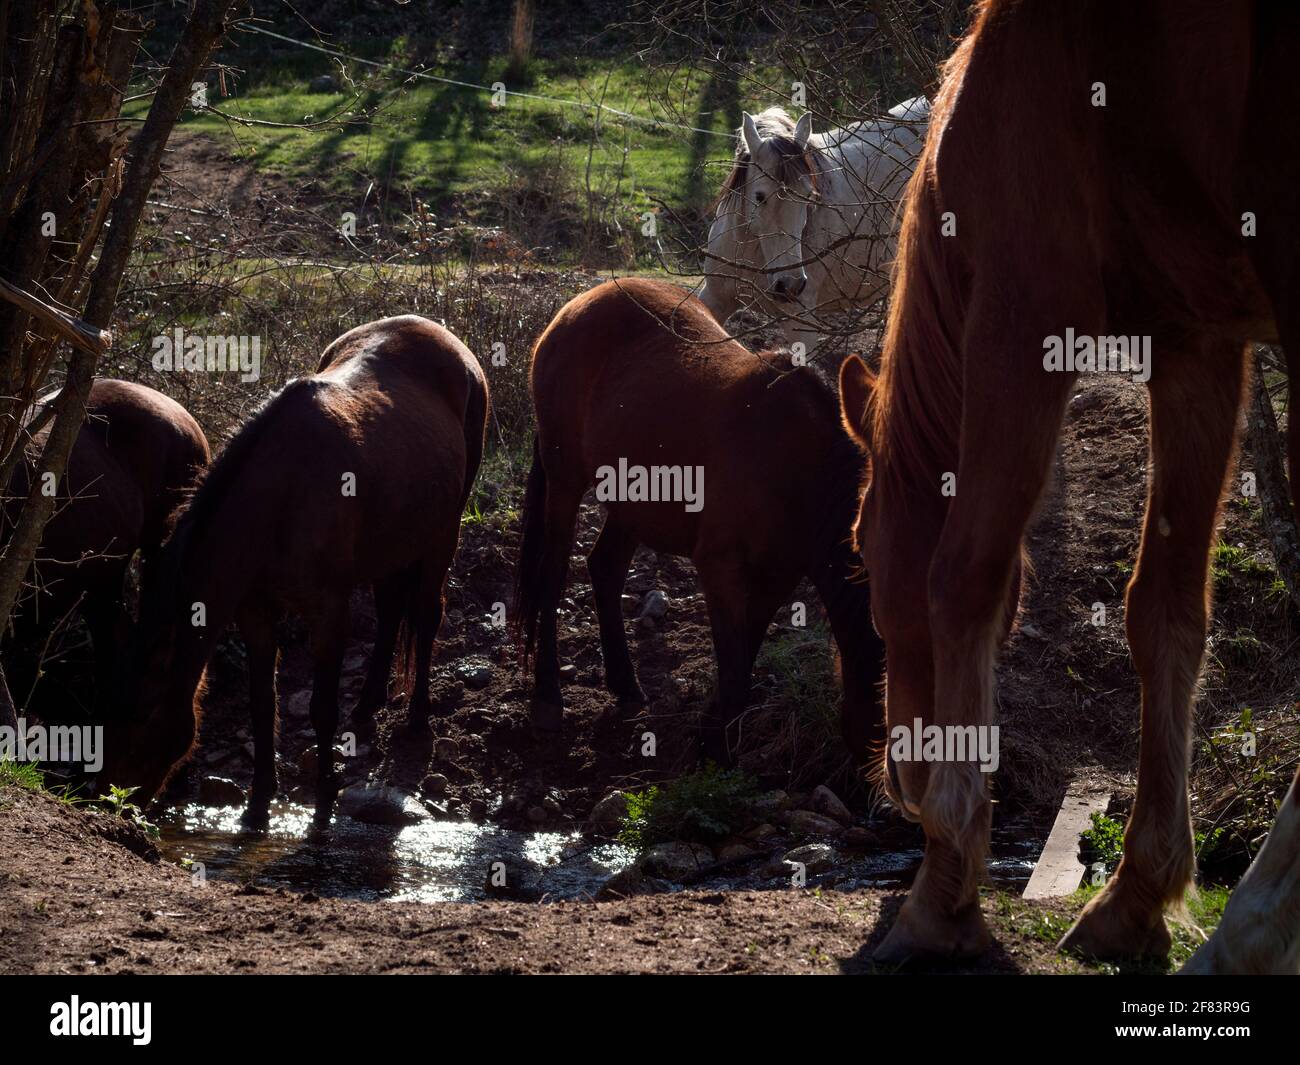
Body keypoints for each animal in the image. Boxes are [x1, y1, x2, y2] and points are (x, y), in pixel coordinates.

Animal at [837, 0, 1300, 972]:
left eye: (860, 548)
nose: (900, 775)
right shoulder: (1197, 344)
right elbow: (1163, 609)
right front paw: (1138, 893)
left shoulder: (1022, 315)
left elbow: (964, 575)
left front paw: (944, 884)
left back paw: (1250, 929)